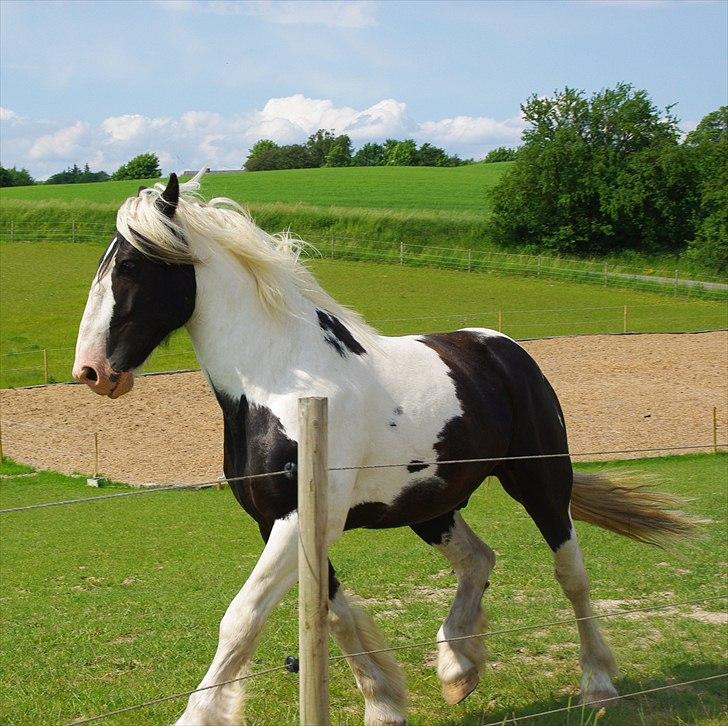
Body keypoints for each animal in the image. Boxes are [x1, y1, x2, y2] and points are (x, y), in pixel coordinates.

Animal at [74, 172, 692, 726]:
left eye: (129, 265)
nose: (92, 372)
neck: (281, 382)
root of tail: (507, 349)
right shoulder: (285, 522)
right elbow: (334, 611)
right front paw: (385, 703)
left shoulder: (300, 519)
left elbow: (242, 618)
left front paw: (199, 715)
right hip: (431, 505)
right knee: (479, 559)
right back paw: (458, 669)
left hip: (540, 483)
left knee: (572, 575)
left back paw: (597, 683)